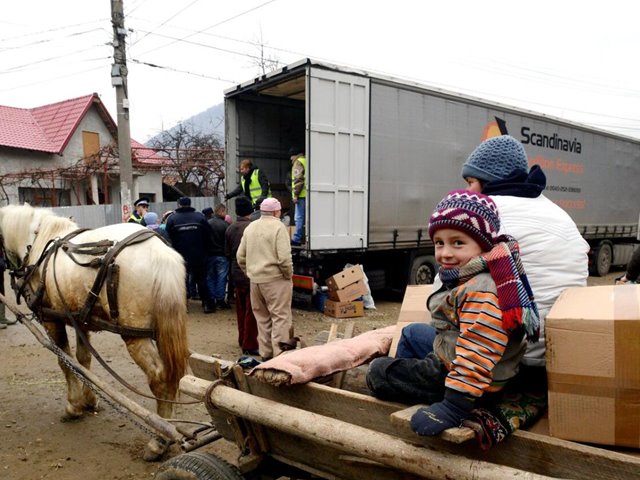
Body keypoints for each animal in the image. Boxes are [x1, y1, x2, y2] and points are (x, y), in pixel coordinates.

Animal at [0, 203, 190, 462]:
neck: (37, 244)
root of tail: (160, 254)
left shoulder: (51, 320)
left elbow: (65, 361)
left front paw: (74, 406)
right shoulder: (80, 320)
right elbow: (83, 361)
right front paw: (89, 400)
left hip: (135, 336)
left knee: (159, 379)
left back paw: (159, 440)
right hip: (162, 333)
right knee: (171, 377)